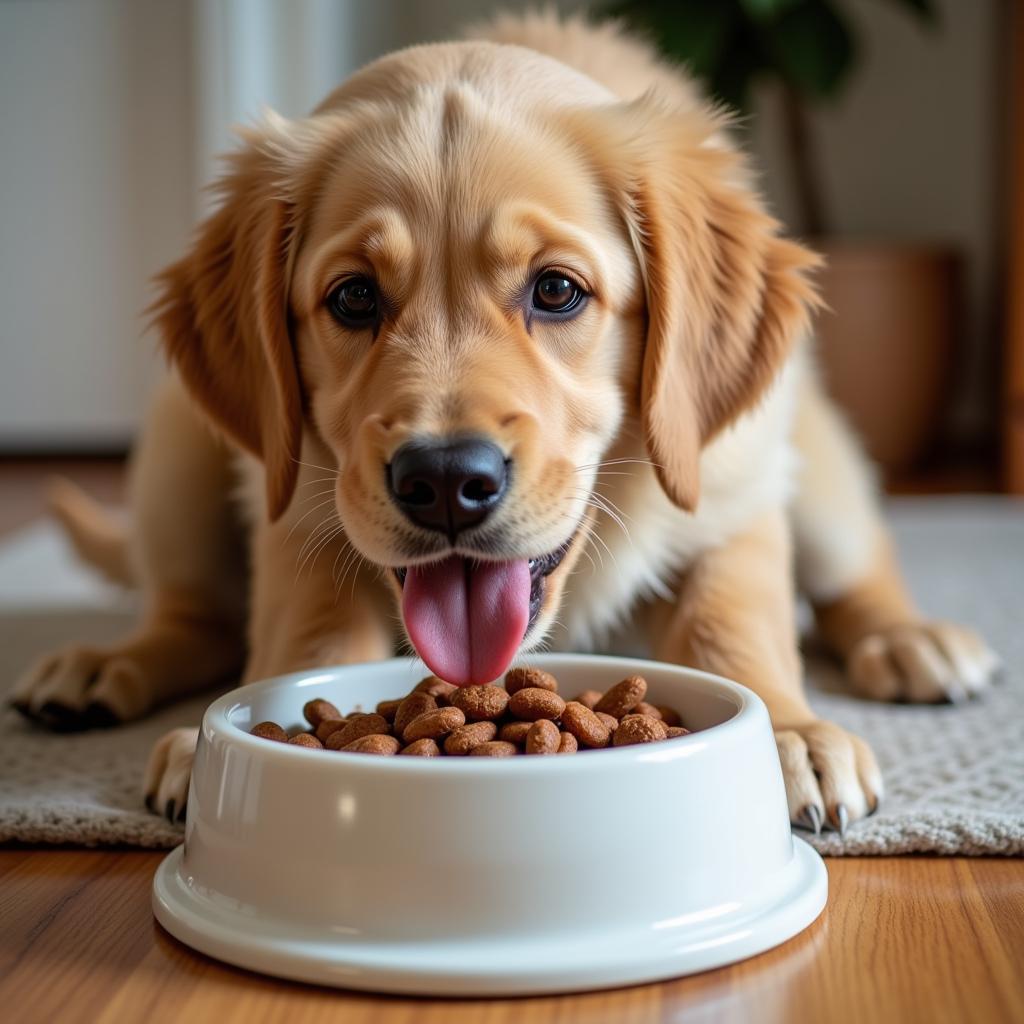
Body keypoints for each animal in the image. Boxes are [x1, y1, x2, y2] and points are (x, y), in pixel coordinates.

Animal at [12, 14, 995, 831]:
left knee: (856, 571)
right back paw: (100, 667)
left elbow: (733, 617)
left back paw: (913, 639)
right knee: (195, 613)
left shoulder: (730, 483)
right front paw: (227, 732)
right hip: (179, 446)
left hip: (816, 466)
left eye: (556, 290)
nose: (446, 481)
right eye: (353, 298)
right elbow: (307, 629)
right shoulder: (294, 508)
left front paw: (787, 732)